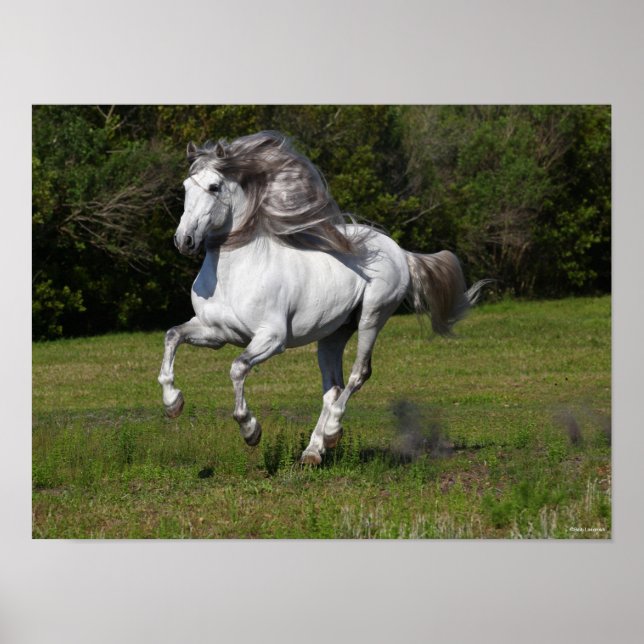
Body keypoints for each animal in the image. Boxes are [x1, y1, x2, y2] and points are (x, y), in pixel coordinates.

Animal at [158, 131, 488, 465]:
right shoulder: (215, 333)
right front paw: (173, 403)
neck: (234, 275)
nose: (184, 240)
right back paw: (313, 452)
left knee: (358, 375)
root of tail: (398, 250)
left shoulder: (272, 339)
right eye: (185, 187)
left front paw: (250, 430)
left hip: (372, 317)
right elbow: (173, 335)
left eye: (214, 187)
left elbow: (237, 367)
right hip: (333, 334)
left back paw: (331, 432)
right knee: (332, 388)